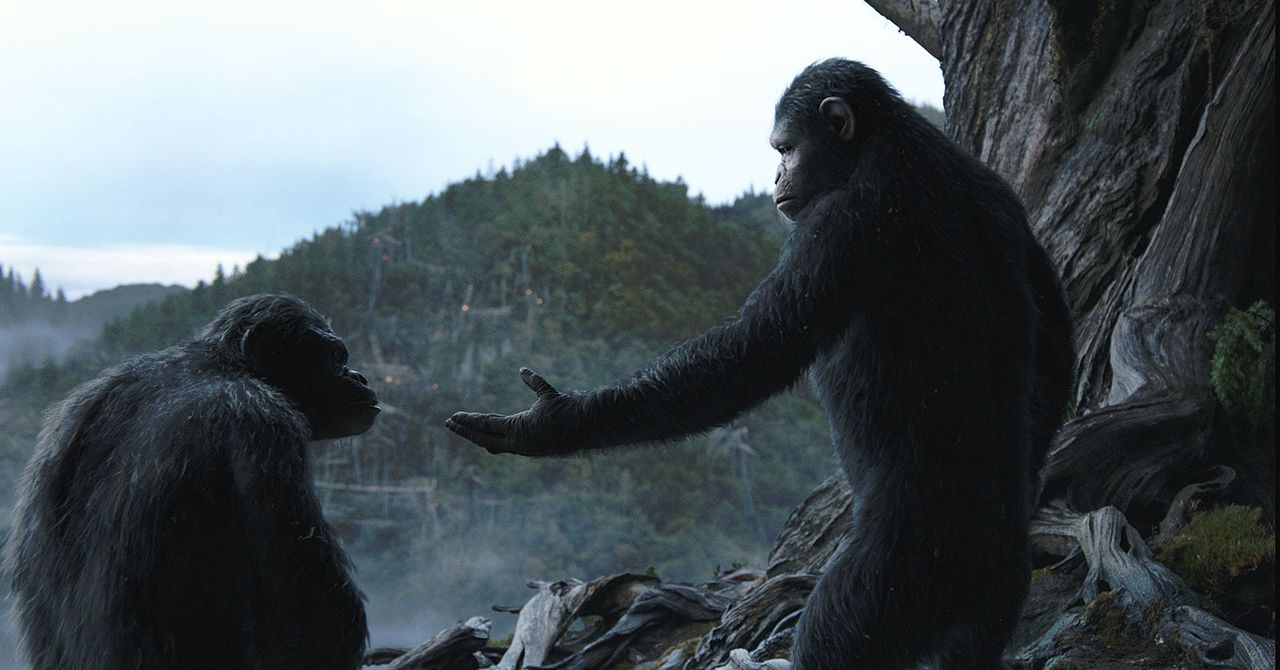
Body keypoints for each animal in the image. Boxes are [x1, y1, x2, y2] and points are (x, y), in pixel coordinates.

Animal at [445, 58, 1075, 670]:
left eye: (785, 148)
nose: (776, 174)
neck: (883, 144)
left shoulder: (840, 222)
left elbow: (751, 355)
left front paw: (550, 425)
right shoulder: (1004, 199)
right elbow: (1054, 333)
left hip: (901, 574)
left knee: (836, 634)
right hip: (992, 595)